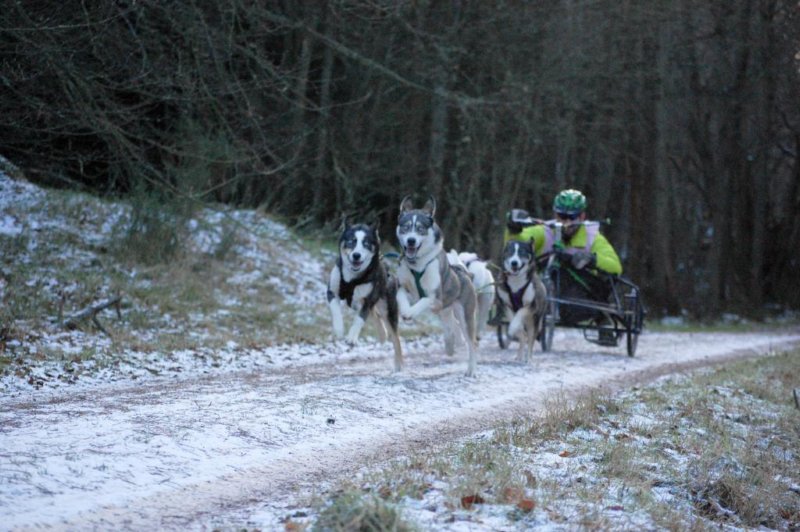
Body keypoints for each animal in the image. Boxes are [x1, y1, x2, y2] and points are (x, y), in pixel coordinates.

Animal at [324, 219, 404, 370]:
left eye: (366, 243)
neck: (352, 278)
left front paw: (351, 338)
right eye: (351, 241)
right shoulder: (332, 292)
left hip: (388, 308)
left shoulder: (368, 301)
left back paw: (399, 365)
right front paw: (339, 330)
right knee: (377, 318)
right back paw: (382, 335)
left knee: (396, 338)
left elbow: (359, 319)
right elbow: (335, 310)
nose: (356, 255)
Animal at [396, 194, 478, 374]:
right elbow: (402, 297)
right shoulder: (402, 285)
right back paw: (451, 344)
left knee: (472, 342)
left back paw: (471, 369)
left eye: (420, 228)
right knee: (452, 328)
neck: (417, 266)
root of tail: (463, 272)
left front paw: (410, 313)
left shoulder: (436, 298)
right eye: (405, 227)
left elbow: (424, 300)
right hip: (443, 312)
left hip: (464, 314)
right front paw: (405, 312)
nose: (411, 241)